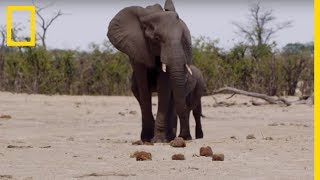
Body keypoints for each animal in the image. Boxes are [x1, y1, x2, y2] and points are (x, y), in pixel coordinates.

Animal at [107, 0, 192, 142]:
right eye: (156, 38)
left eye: (182, 38)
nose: (185, 137)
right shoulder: (137, 48)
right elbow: (143, 87)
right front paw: (147, 139)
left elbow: (164, 87)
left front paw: (159, 140)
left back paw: (169, 137)